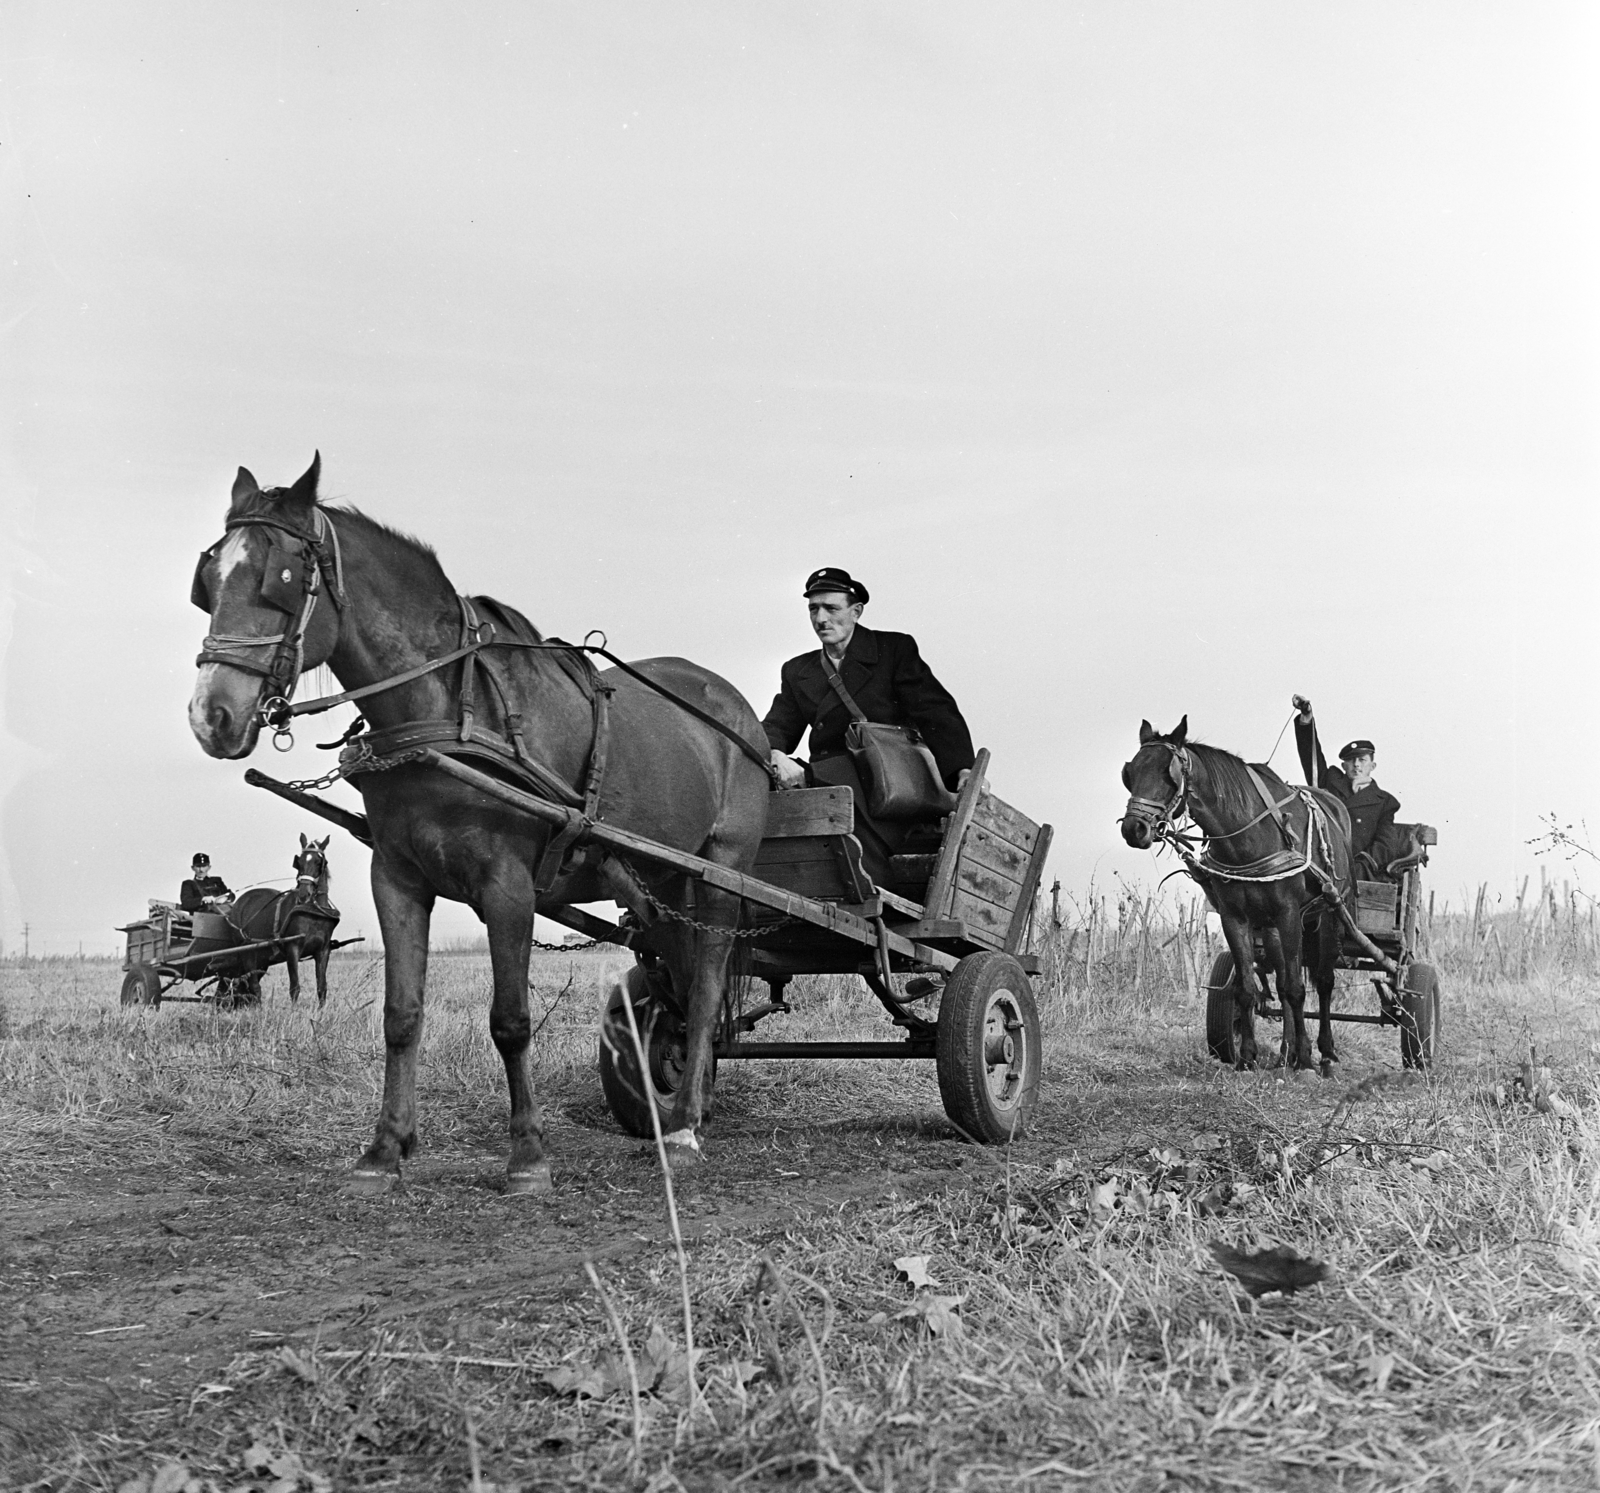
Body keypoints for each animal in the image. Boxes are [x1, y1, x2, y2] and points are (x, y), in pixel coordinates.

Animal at [227, 832, 342, 1004]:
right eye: (299, 861)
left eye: (319, 862)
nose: (304, 894)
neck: (313, 911)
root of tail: (238, 903)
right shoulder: (292, 948)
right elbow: (294, 987)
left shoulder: (323, 951)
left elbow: (322, 988)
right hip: (247, 952)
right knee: (253, 986)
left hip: (262, 958)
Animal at [1126, 713, 1350, 1068]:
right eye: (1130, 772)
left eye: (1167, 773)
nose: (1133, 828)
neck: (1248, 836)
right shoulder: (1234, 917)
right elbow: (1246, 988)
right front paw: (1246, 1056)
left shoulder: (1289, 913)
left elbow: (1297, 988)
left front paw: (1305, 1058)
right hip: (1271, 926)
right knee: (1282, 980)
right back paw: (1285, 1050)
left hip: (1327, 913)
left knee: (1324, 982)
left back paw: (1323, 1051)